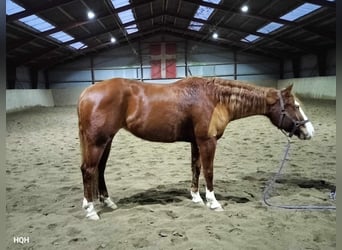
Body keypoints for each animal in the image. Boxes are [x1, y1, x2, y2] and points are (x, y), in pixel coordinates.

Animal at [78, 77, 316, 220]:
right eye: (295, 106)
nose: (310, 131)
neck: (215, 98)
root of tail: (87, 91)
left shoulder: (195, 142)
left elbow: (196, 168)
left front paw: (196, 198)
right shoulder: (207, 141)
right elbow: (209, 171)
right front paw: (213, 202)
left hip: (107, 141)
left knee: (99, 170)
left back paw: (107, 202)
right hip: (98, 141)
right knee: (89, 170)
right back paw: (90, 210)